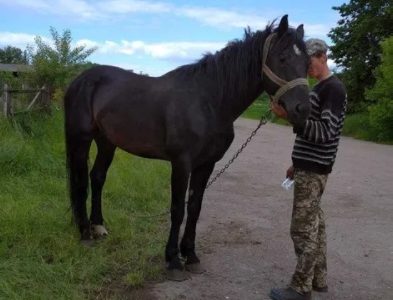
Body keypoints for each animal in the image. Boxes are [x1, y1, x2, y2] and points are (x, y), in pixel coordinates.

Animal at [63, 15, 310, 280]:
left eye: (307, 62)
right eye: (282, 58)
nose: (302, 109)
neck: (209, 101)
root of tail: (80, 80)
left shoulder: (206, 164)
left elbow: (194, 208)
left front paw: (190, 256)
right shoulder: (181, 163)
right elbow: (177, 209)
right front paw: (172, 260)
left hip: (107, 142)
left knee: (98, 177)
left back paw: (98, 227)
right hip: (80, 139)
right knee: (80, 182)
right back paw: (85, 233)